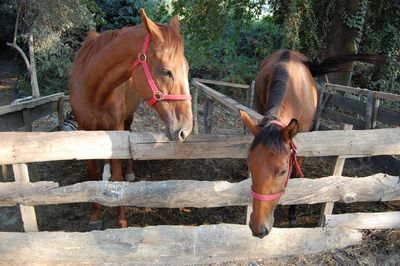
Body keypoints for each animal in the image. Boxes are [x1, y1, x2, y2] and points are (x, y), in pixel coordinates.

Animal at [69, 8, 194, 229]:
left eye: (186, 69)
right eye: (166, 71)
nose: (185, 129)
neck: (93, 88)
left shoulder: (116, 130)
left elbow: (118, 177)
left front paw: (121, 221)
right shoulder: (85, 130)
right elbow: (92, 174)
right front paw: (95, 215)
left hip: (127, 119)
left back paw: (129, 172)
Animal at [241, 48, 384, 238]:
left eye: (282, 171)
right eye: (250, 164)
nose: (258, 229)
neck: (294, 91)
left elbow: (296, 176)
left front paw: (292, 215)